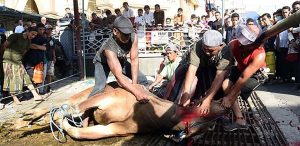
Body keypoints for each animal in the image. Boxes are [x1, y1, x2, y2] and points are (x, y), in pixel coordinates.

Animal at [7, 82, 227, 140]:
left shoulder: (116, 129)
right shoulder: (109, 96)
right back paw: (22, 119)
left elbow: (77, 130)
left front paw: (61, 125)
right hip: (90, 91)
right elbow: (68, 111)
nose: (225, 105)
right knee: (60, 105)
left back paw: (23, 123)